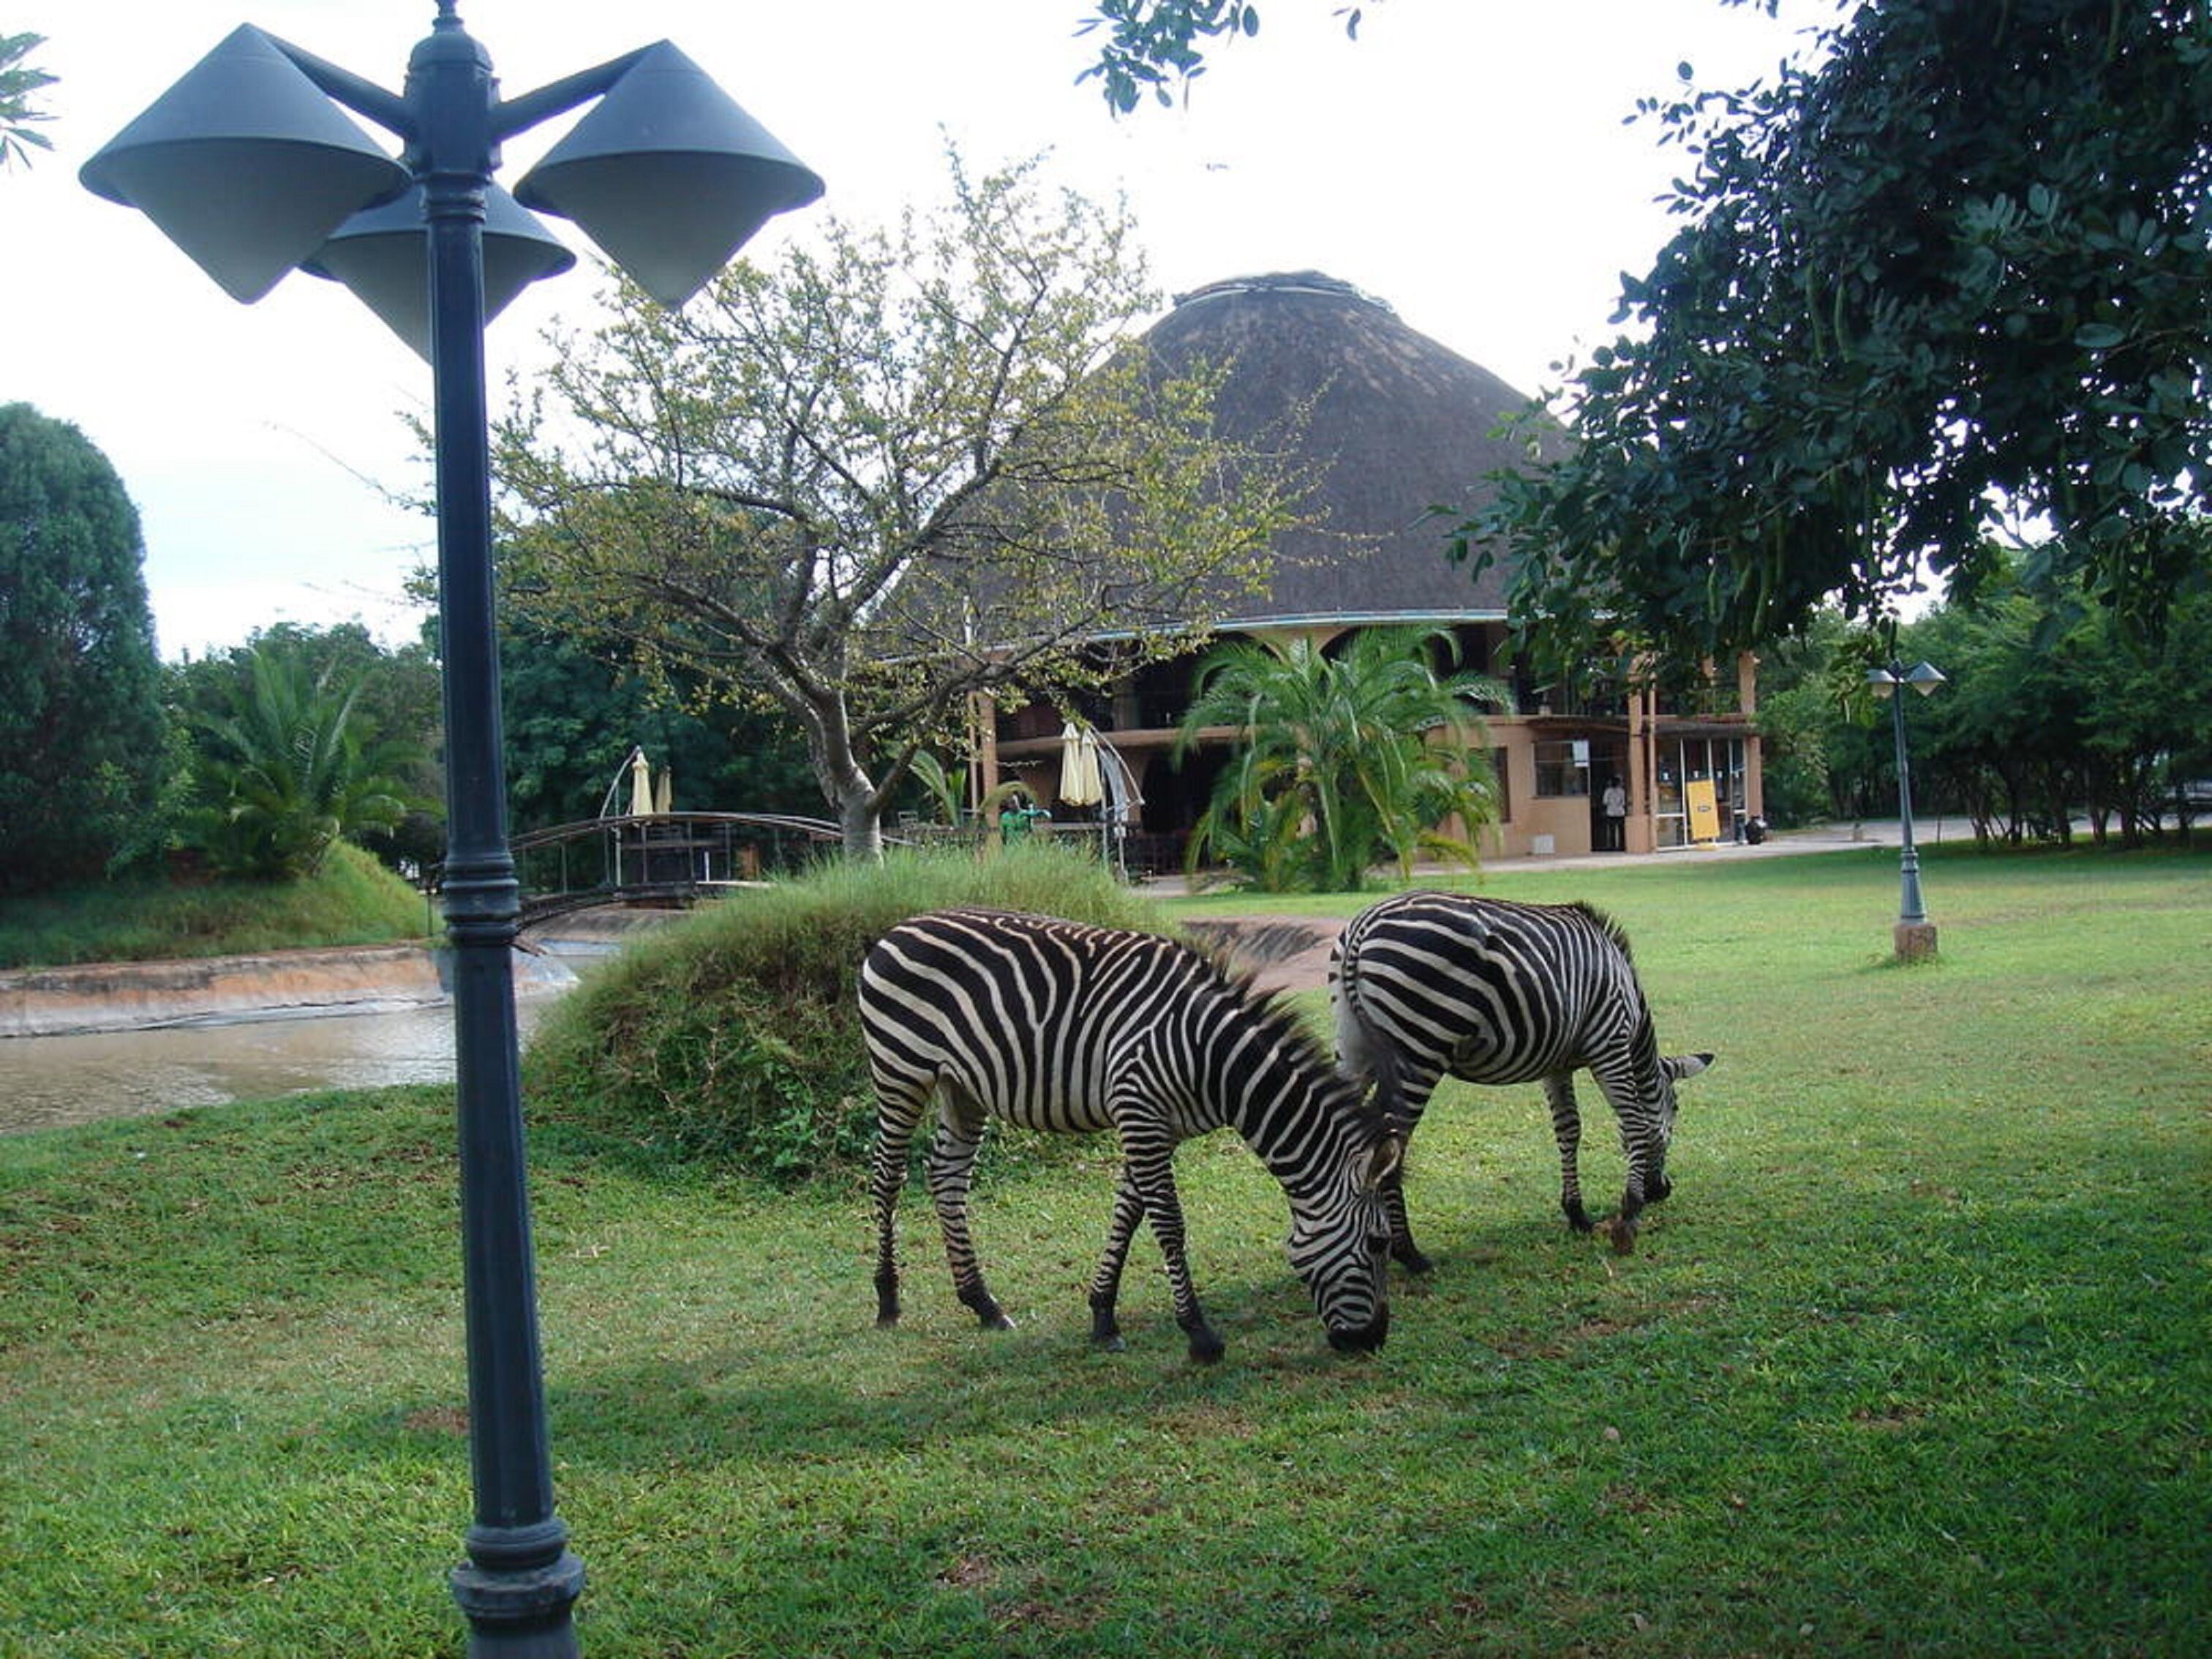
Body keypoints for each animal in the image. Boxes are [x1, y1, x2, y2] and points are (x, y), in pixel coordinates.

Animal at [859, 908, 1402, 1362]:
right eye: (1378, 1243)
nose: (1372, 1341)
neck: (1212, 1057)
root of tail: (897, 929)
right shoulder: (1139, 1112)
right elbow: (1169, 1224)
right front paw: (1199, 1334)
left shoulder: (1155, 1124)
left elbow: (1129, 1212)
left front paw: (1103, 1316)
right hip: (900, 1069)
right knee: (887, 1176)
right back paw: (888, 1298)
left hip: (962, 1086)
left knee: (946, 1177)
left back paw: (983, 1303)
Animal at [1329, 891, 1712, 1262]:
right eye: (1676, 1113)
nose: (1662, 1190)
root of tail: (1363, 926)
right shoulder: (1610, 1042)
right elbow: (1635, 1122)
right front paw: (1629, 1216)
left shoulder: (1557, 1065)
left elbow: (1569, 1129)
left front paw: (1576, 1214)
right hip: (1419, 1049)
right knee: (1393, 1139)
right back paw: (1408, 1252)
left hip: (1354, 1047)